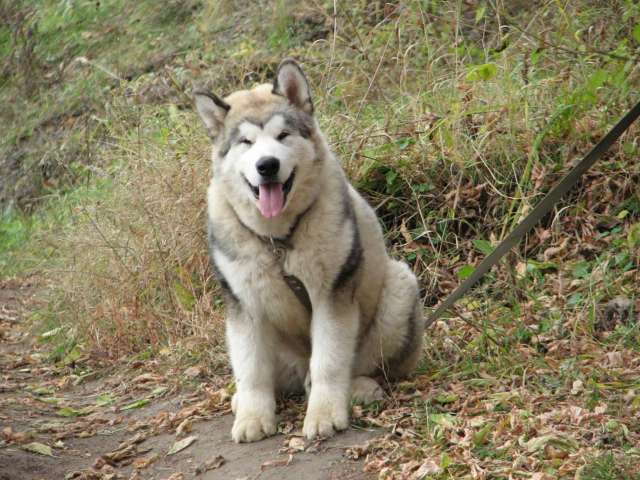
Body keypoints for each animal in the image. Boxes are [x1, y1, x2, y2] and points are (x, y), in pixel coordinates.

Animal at [195, 59, 424, 442]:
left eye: (283, 136)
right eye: (246, 142)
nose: (267, 165)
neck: (278, 240)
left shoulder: (331, 293)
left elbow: (329, 362)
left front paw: (325, 413)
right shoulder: (244, 304)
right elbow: (250, 369)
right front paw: (253, 416)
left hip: (398, 289)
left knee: (362, 364)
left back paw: (359, 387)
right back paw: (244, 399)